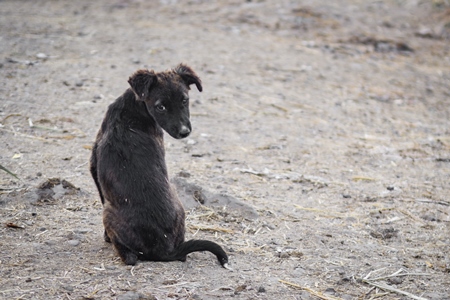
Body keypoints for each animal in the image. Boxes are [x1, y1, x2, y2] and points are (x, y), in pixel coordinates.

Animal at [89, 62, 229, 268]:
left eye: (185, 100)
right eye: (160, 106)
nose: (184, 132)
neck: (133, 110)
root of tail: (165, 250)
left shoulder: (94, 168)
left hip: (109, 212)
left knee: (130, 258)